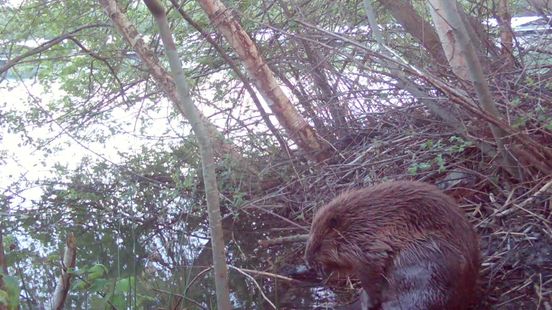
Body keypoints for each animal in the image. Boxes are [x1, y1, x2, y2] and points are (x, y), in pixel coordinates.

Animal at [304, 180, 480, 308]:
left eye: (319, 245)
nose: (308, 261)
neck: (360, 223)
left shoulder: (370, 247)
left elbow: (370, 274)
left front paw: (368, 301)